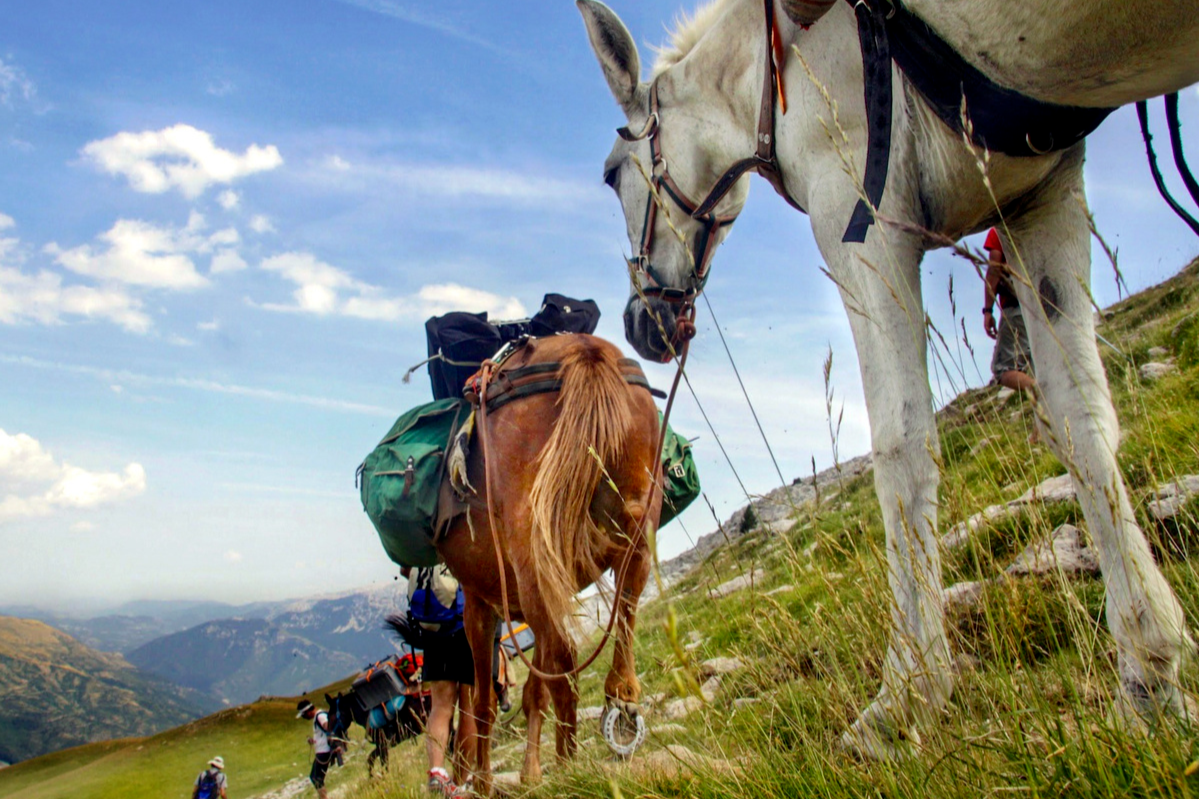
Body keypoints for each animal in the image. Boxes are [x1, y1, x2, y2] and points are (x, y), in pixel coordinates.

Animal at [438, 328, 666, 791]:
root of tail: (585, 351)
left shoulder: (480, 606)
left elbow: (486, 705)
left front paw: (488, 782)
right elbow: (539, 688)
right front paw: (538, 768)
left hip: (533, 563)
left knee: (563, 664)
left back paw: (563, 767)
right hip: (635, 525)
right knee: (622, 620)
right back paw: (618, 708)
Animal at [575, 0, 1194, 758]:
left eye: (611, 175)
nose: (642, 324)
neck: (778, 64)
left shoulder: (861, 220)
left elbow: (902, 450)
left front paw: (905, 696)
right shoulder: (1040, 198)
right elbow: (1081, 421)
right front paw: (1149, 671)